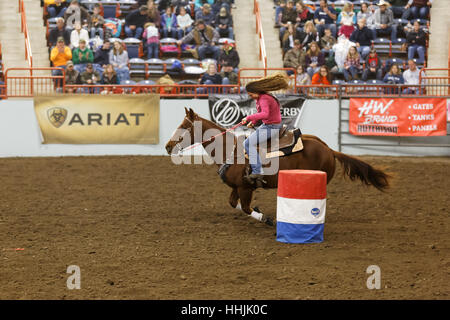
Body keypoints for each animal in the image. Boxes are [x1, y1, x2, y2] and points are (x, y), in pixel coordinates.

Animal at [165, 107, 390, 225]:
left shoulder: (245, 187)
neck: (230, 149)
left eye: (184, 127)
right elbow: (234, 204)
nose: (167, 146)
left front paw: (266, 218)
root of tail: (329, 149)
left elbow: (245, 208)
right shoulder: (237, 187)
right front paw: (260, 212)